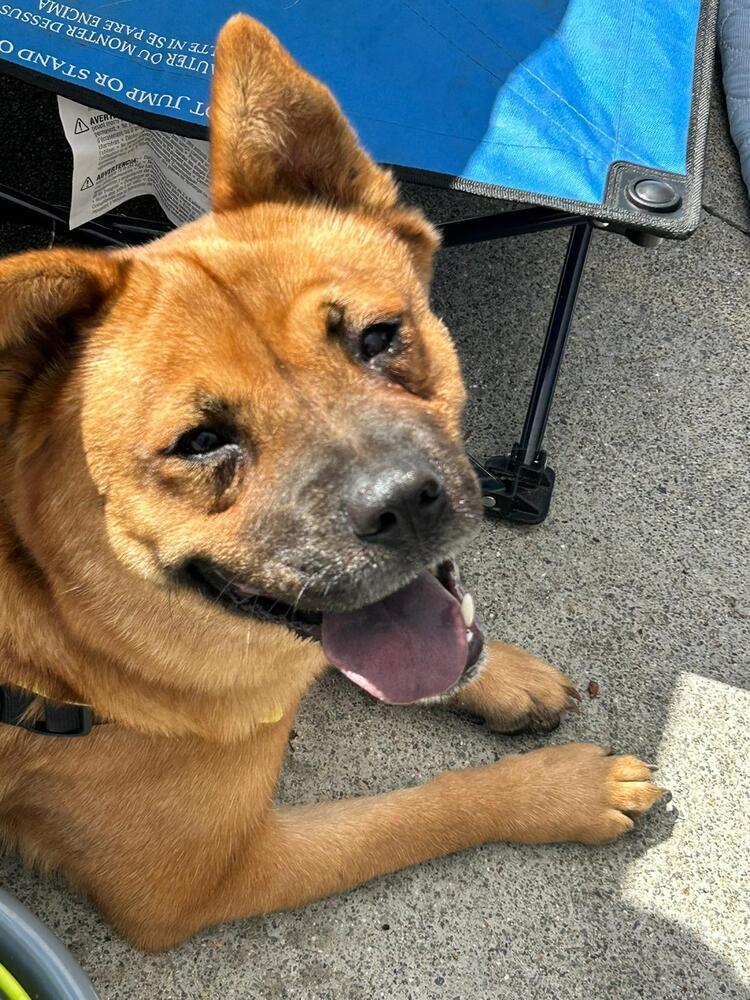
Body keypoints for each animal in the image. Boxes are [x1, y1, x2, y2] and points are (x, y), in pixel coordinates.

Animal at [0, 17, 660, 952]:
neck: (67, 641)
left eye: (379, 337)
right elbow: (422, 809)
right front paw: (557, 789)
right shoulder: (207, 880)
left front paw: (505, 675)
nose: (404, 503)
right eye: (201, 442)